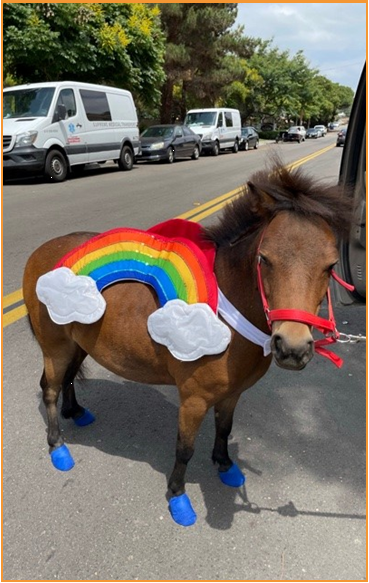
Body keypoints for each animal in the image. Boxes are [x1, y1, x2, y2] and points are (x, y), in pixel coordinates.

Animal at [22, 162, 350, 528]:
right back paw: (58, 447)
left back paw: (75, 412)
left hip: (77, 344)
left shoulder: (232, 394)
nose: (292, 348)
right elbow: (185, 448)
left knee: (66, 379)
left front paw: (225, 465)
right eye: (265, 259)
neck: (229, 316)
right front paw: (178, 497)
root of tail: (39, 253)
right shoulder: (193, 400)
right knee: (50, 389)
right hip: (55, 347)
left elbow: (225, 428)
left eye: (330, 266)